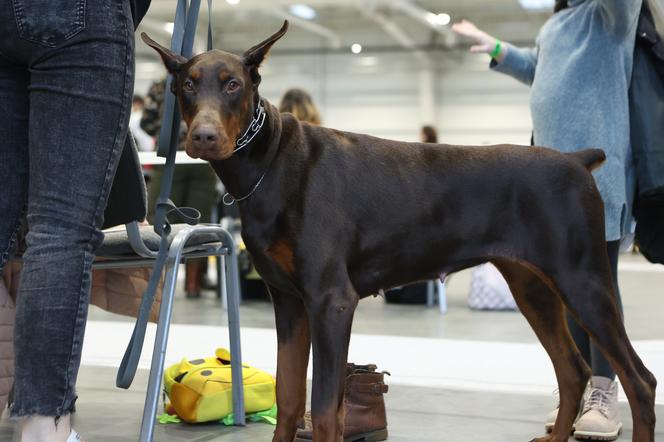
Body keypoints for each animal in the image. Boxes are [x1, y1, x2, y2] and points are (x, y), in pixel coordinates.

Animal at [143, 23, 656, 442]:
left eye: (233, 84)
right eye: (187, 84)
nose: (203, 137)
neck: (270, 162)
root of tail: (576, 160)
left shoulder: (331, 301)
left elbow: (325, 408)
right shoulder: (288, 301)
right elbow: (289, 398)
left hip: (583, 280)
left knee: (640, 380)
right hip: (532, 286)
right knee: (572, 370)